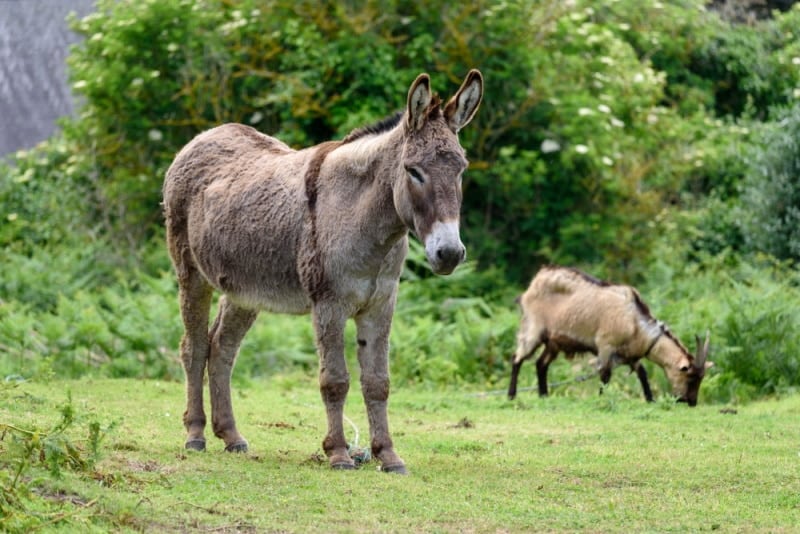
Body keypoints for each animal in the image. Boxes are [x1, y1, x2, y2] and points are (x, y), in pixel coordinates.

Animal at [508, 266, 712, 405]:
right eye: (691, 377)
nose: (691, 402)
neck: (634, 322)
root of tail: (532, 285)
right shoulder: (605, 346)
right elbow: (605, 375)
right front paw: (601, 399)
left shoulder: (630, 354)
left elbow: (642, 373)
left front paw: (650, 399)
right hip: (533, 330)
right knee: (517, 358)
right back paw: (511, 395)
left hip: (553, 342)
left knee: (540, 364)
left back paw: (543, 395)